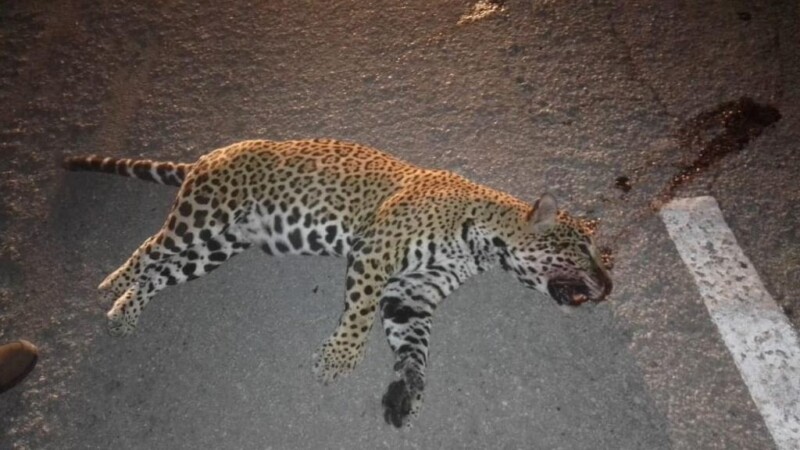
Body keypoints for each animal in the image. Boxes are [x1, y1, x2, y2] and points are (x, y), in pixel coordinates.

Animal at [63, 138, 613, 428]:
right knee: (147, 249)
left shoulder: (413, 292)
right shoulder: (377, 252)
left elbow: (413, 346)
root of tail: (209, 155)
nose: (608, 285)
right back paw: (113, 284)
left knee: (161, 270)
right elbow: (360, 313)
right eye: (583, 250)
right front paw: (339, 359)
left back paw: (125, 312)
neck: (483, 242)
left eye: (603, 256)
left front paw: (407, 393)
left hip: (215, 247)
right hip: (200, 220)